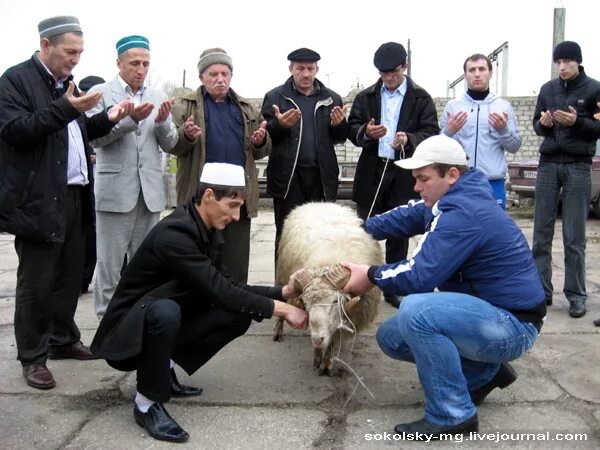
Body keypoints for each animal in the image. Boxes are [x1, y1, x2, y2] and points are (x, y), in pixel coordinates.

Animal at [274, 202, 382, 374]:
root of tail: (319, 203)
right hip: (282, 274)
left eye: (335, 302)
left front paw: (325, 362)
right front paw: (318, 356)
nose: (317, 339)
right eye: (306, 304)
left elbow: (332, 340)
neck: (330, 260)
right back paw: (278, 332)